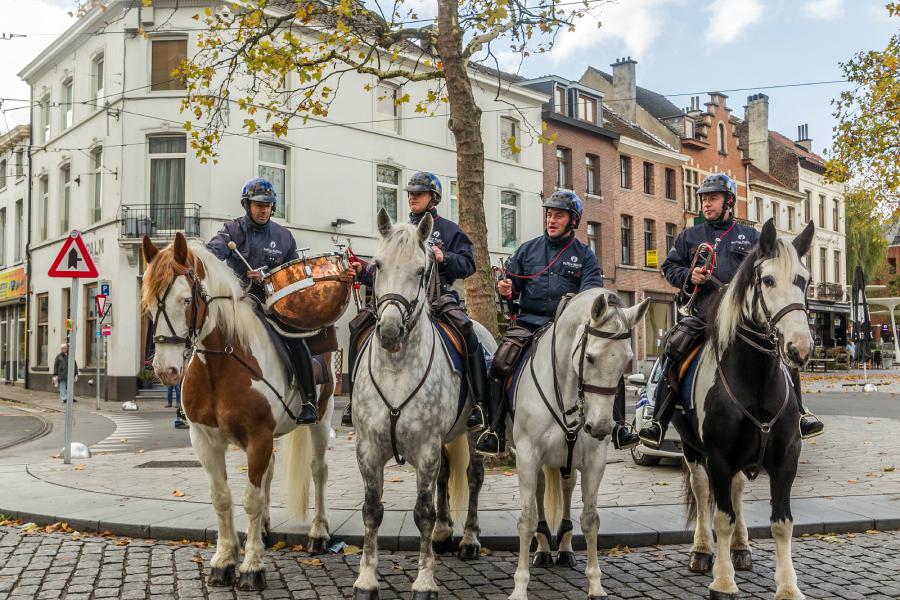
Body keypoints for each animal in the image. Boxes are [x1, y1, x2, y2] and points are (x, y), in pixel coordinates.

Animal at [141, 233, 338, 592]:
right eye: (148, 302)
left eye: (186, 300)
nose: (166, 370)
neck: (221, 363)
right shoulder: (204, 440)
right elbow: (222, 496)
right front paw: (224, 560)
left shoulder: (258, 436)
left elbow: (250, 498)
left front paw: (251, 566)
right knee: (270, 472)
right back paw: (263, 529)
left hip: (322, 417)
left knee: (318, 471)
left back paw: (319, 532)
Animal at [350, 209, 496, 596]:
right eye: (377, 265)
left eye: (421, 270)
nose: (388, 332)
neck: (396, 368)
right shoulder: (369, 449)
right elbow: (372, 510)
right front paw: (366, 579)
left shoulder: (426, 448)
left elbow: (422, 513)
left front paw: (424, 581)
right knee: (446, 475)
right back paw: (445, 533)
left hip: (472, 433)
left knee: (473, 477)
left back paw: (469, 540)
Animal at [506, 288, 648, 596]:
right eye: (590, 358)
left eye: (626, 360)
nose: (601, 426)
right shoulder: (527, 456)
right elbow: (527, 519)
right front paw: (519, 587)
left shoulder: (594, 461)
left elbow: (590, 519)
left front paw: (595, 584)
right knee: (540, 493)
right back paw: (543, 548)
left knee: (566, 488)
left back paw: (564, 547)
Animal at [676, 220, 816, 600]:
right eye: (767, 280)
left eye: (804, 280)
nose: (799, 348)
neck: (756, 380)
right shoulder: (719, 457)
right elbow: (721, 517)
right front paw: (723, 582)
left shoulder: (787, 457)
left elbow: (782, 523)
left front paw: (788, 586)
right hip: (692, 448)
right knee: (702, 491)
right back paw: (702, 552)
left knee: (737, 493)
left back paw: (741, 548)